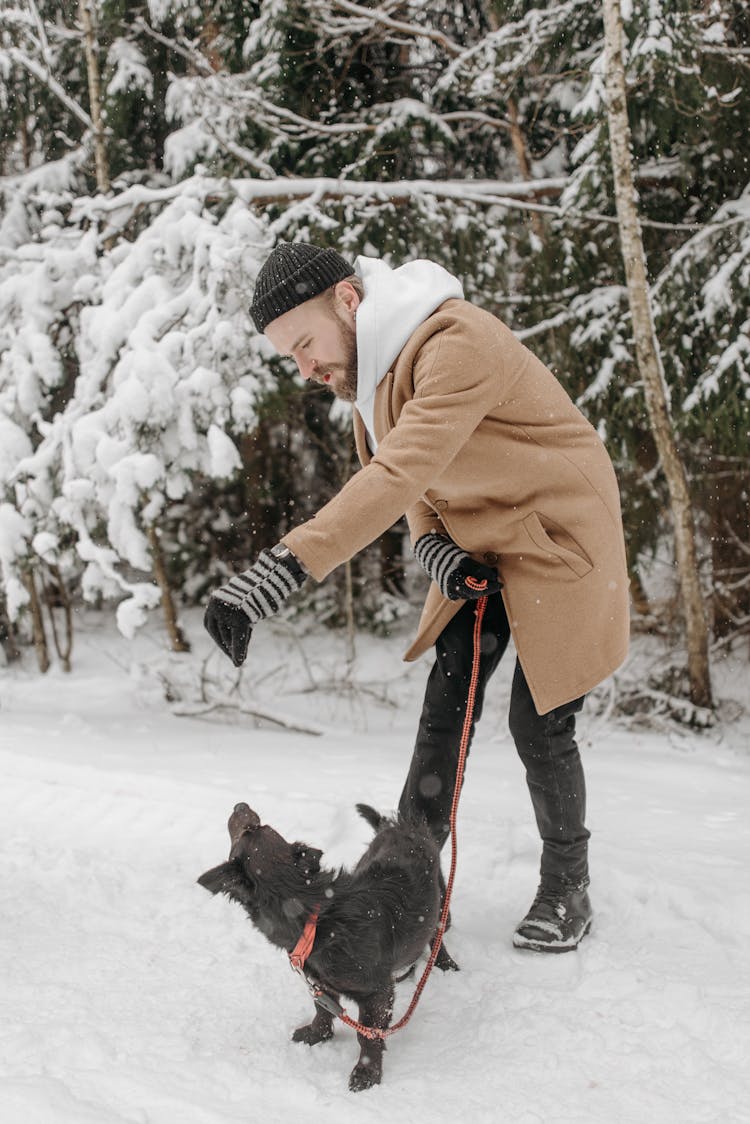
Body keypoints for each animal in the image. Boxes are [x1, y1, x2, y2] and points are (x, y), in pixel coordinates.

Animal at [197, 800, 458, 1088]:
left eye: (252, 829)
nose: (239, 805)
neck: (314, 919)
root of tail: (404, 825)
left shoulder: (378, 993)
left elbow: (367, 1035)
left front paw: (367, 1072)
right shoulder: (320, 983)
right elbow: (323, 1010)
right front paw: (317, 1034)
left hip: (440, 903)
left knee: (437, 935)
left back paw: (445, 964)